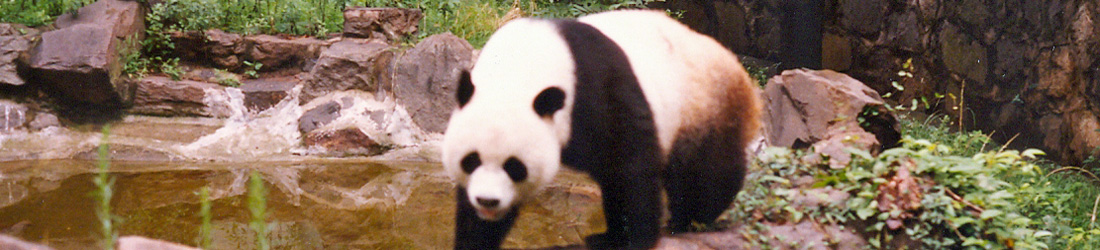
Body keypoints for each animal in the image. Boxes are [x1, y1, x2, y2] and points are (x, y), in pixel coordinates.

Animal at [442, 9, 761, 250]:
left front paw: (635, 239)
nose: (488, 201)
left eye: (514, 167)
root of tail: (738, 68)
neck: (519, 71)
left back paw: (691, 219)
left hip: (704, 103)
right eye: (471, 160)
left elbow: (631, 163)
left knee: (704, 171)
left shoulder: (596, 88)